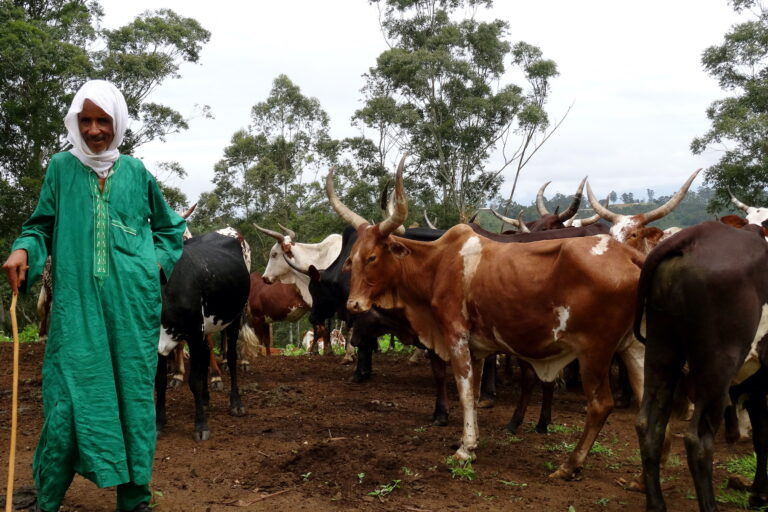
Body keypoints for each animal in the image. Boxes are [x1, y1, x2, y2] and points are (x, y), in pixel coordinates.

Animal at [155, 227, 252, 440]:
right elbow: (160, 381)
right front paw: (158, 423)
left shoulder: (193, 333)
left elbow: (195, 380)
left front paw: (200, 426)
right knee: (208, 355)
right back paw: (206, 400)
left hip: (234, 319)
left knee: (231, 358)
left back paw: (236, 403)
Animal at [328, 157, 644, 480]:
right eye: (352, 257)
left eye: (372, 257)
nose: (353, 304)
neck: (437, 264)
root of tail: (630, 256)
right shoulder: (477, 348)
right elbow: (476, 392)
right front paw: (472, 439)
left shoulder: (455, 336)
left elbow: (465, 393)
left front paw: (465, 449)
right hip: (634, 348)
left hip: (595, 352)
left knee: (601, 405)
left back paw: (570, 465)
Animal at [632, 223, 768, 512]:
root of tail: (693, 235)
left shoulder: (756, 383)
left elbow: (762, 436)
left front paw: (759, 493)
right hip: (717, 368)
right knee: (698, 440)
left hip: (662, 350)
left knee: (648, 425)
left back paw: (656, 504)